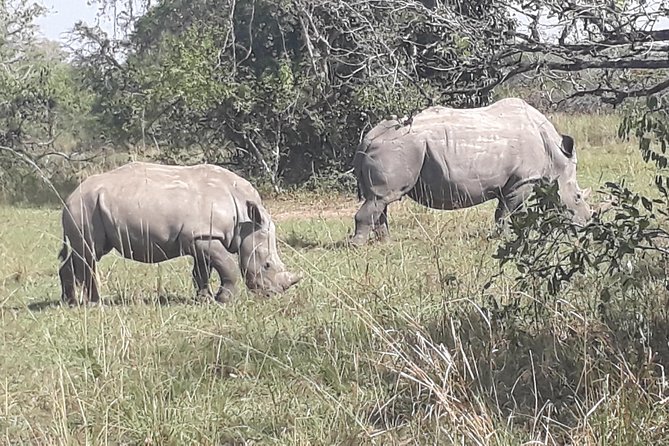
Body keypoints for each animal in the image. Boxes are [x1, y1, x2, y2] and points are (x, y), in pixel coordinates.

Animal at [58, 162, 301, 305]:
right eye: (267, 265)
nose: (272, 294)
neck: (244, 219)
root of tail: (68, 198)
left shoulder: (200, 237)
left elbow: (202, 271)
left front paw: (204, 300)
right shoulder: (203, 236)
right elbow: (227, 266)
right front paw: (224, 301)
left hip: (90, 206)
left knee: (83, 254)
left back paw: (69, 302)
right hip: (85, 207)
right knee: (90, 253)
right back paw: (95, 304)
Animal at [351, 98, 593, 245]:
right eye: (578, 197)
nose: (587, 224)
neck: (556, 156)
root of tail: (368, 138)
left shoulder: (515, 182)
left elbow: (506, 212)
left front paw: (510, 235)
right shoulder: (523, 181)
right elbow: (509, 212)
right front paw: (505, 238)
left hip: (398, 149)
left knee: (381, 200)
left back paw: (385, 243)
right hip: (400, 148)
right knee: (381, 198)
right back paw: (358, 247)